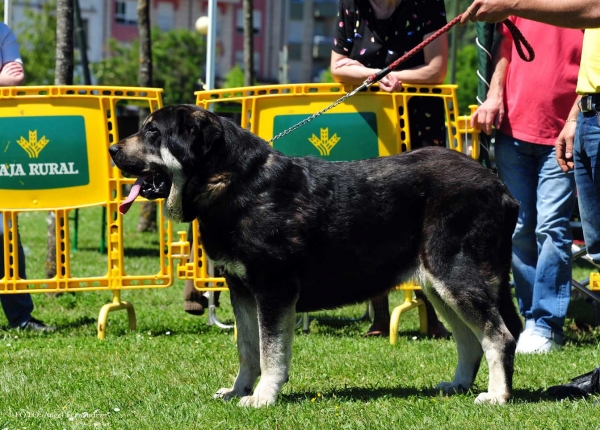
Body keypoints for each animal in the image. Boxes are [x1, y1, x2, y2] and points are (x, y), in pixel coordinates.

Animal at [110, 104, 524, 406]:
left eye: (152, 132)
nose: (112, 149)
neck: (232, 182)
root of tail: (500, 185)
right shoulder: (241, 289)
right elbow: (247, 349)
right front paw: (238, 390)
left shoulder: (273, 289)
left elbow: (271, 351)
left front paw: (263, 396)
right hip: (439, 286)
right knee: (470, 339)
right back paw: (457, 385)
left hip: (455, 275)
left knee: (499, 336)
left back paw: (497, 396)